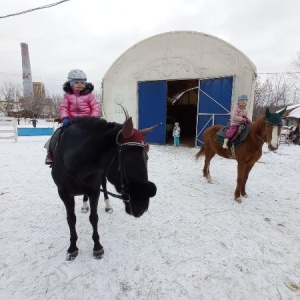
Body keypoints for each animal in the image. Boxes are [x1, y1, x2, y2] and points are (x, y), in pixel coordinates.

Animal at [51, 115, 157, 260]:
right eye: (130, 159)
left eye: (147, 158)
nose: (142, 207)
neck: (75, 162)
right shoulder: (64, 193)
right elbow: (71, 220)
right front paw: (72, 248)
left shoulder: (94, 190)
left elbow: (94, 218)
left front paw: (97, 246)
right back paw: (85, 205)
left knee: (104, 188)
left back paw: (107, 205)